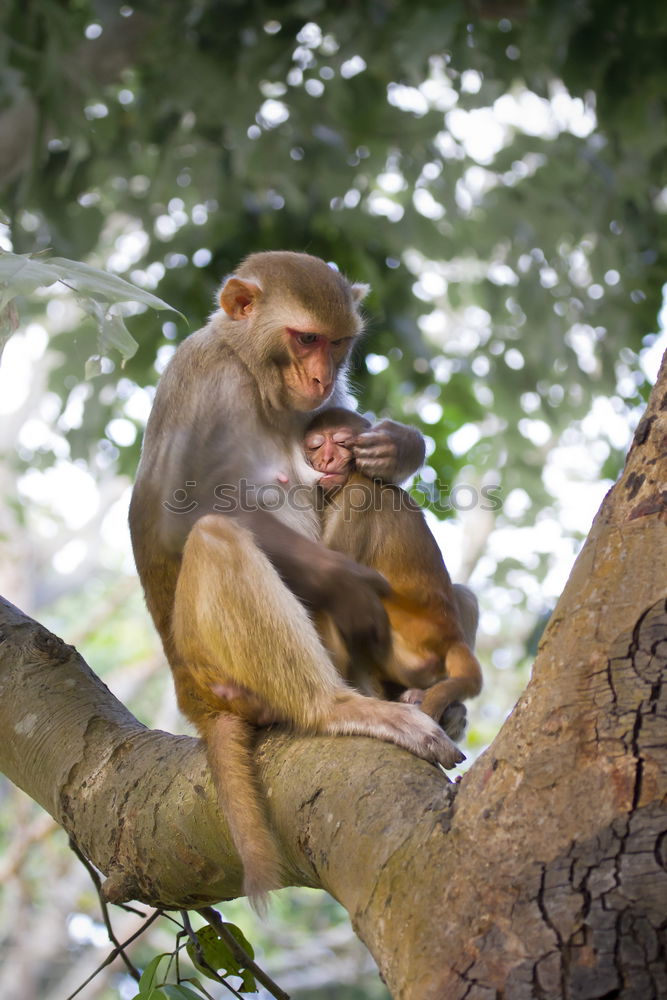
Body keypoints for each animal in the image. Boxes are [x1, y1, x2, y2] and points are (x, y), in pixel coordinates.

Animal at [129, 248, 464, 908]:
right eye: (304, 338)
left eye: (336, 344)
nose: (320, 378)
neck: (253, 377)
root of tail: (193, 698)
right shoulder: (200, 377)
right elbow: (175, 511)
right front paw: (347, 585)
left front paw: (397, 445)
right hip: (219, 671)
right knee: (216, 537)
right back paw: (337, 706)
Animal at [306, 406, 482, 720]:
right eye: (315, 445)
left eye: (340, 442)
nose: (326, 459)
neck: (354, 474)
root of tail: (454, 639)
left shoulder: (357, 496)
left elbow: (330, 565)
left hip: (406, 654)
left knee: (346, 592)